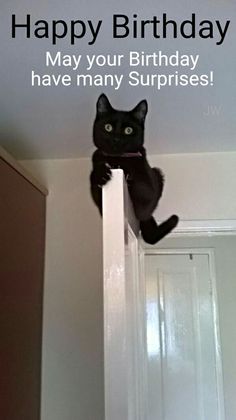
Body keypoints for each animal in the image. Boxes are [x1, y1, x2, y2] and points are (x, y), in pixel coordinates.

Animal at [90, 92, 179, 243]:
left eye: (128, 130)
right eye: (108, 127)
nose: (116, 139)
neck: (118, 158)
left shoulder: (148, 192)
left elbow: (141, 190)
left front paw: (126, 172)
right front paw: (101, 174)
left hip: (157, 173)